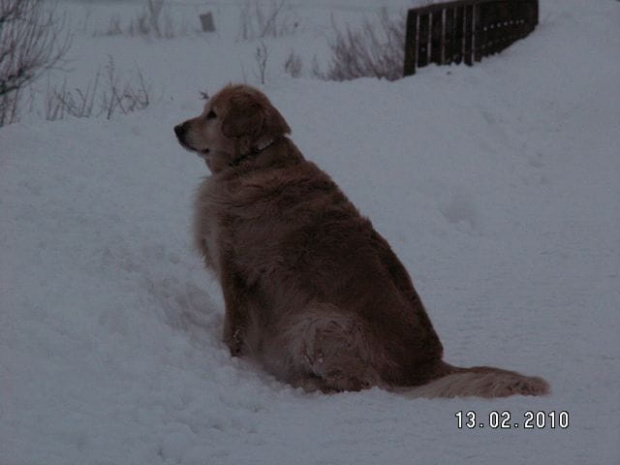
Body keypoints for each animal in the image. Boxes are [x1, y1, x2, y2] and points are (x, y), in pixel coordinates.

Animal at [173, 85, 548, 396]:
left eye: (212, 114)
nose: (177, 128)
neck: (253, 162)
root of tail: (428, 365)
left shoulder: (233, 267)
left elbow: (234, 328)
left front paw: (229, 357)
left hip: (317, 323)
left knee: (360, 383)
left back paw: (304, 382)